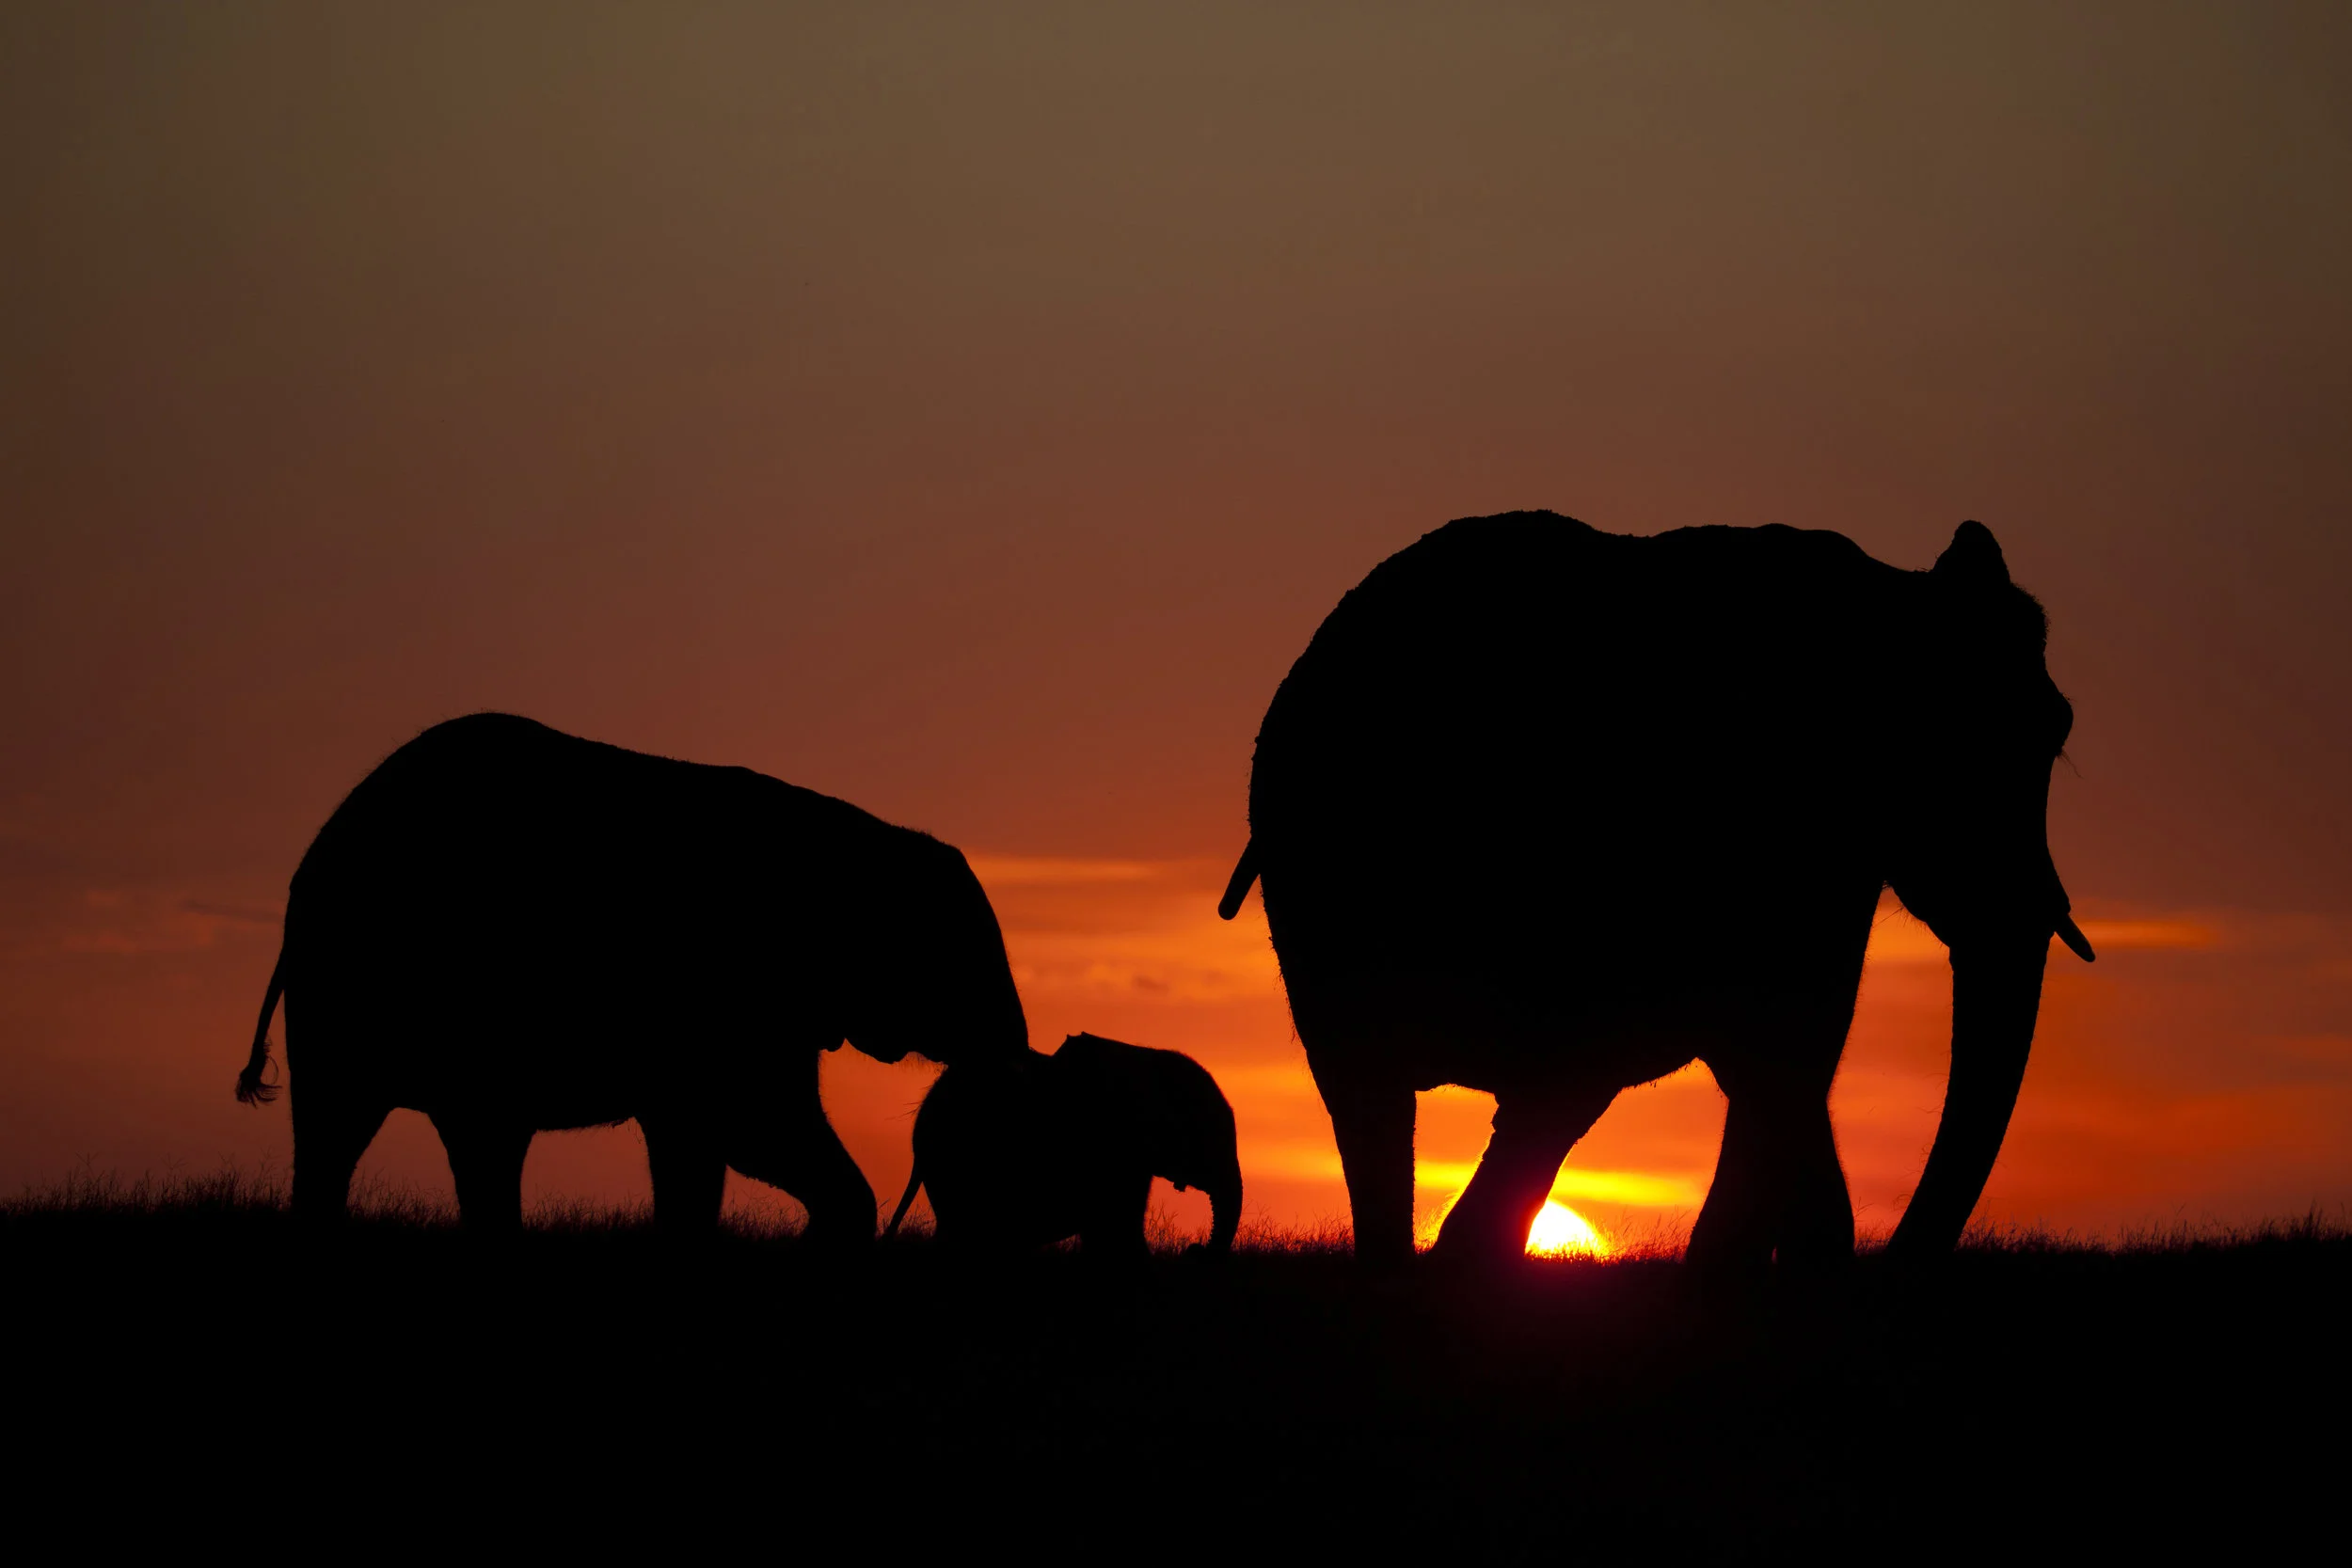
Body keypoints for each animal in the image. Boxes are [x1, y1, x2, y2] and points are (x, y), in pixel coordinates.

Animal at [236, 709, 1030, 1241]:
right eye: (957, 956)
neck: (855, 842)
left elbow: (697, 1144)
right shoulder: (737, 985)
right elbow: (747, 1122)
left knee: (464, 1138)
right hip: (356, 979)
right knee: (354, 1124)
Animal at [1223, 515, 2089, 1278]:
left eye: (2055, 733)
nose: (1895, 1261)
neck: (1891, 595)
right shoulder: (1799, 831)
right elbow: (1794, 1036)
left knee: (1388, 1095)